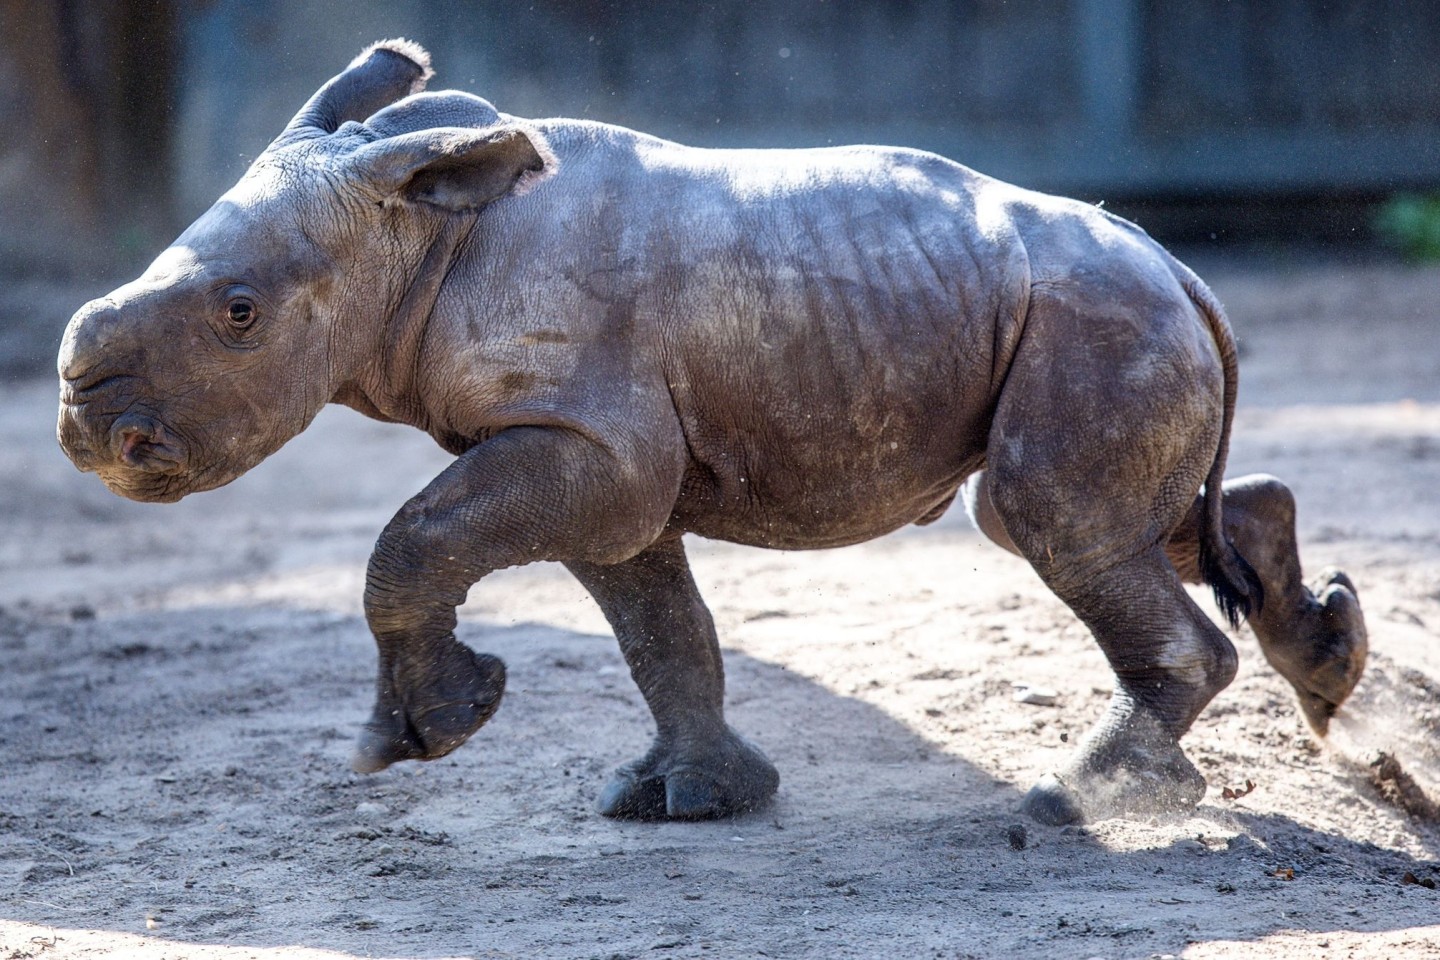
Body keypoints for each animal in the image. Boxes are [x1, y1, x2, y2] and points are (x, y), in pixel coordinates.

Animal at [53, 41, 1359, 829]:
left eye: (238, 314)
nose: (88, 430)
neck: (419, 238)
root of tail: (1183, 269)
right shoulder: (594, 454)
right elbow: (657, 624)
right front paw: (685, 799)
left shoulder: (590, 440)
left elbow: (412, 543)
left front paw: (416, 742)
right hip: (1093, 318)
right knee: (1144, 521)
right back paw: (1324, 667)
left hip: (1095, 321)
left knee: (1050, 520)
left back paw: (1074, 800)